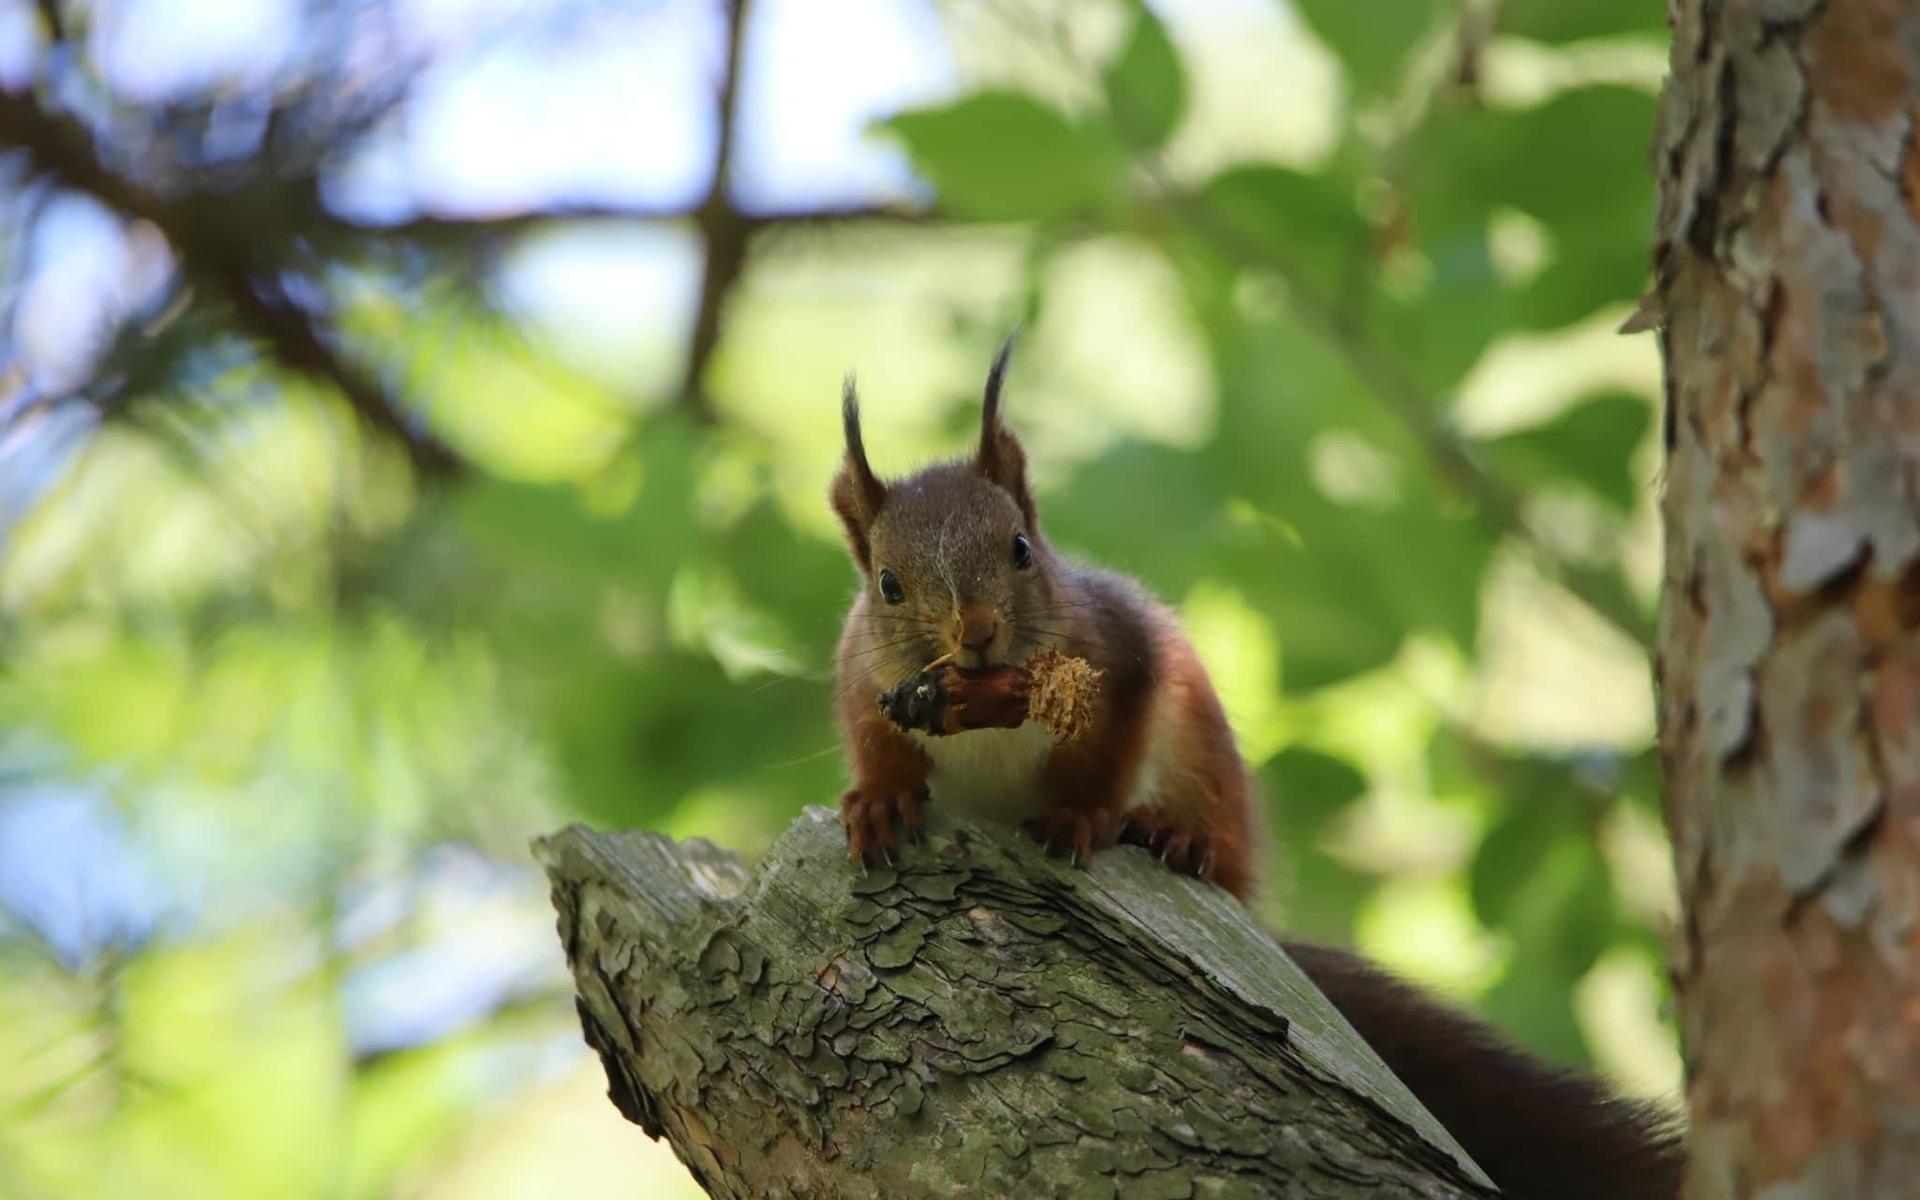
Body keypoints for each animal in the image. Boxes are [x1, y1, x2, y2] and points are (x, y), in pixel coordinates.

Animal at [825, 337, 1681, 1198]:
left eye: (1021, 550)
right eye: (889, 584)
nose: (976, 633)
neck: (983, 704)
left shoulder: (1123, 658)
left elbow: (1106, 754)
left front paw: (1076, 816)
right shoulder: (865, 684)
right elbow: (876, 743)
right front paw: (878, 803)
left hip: (1205, 758)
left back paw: (1181, 839)